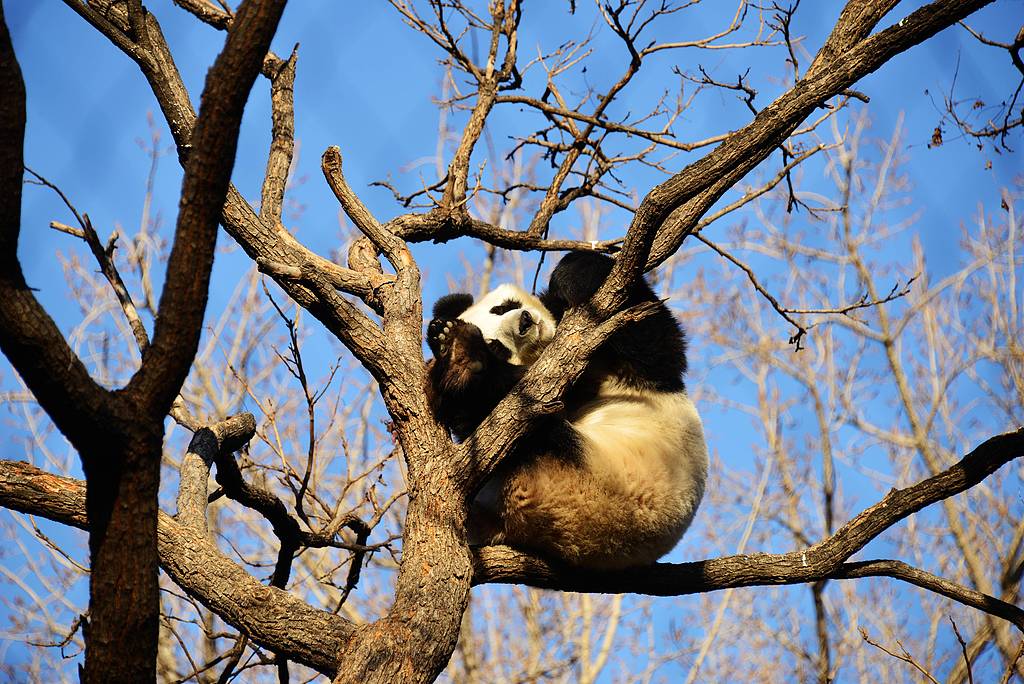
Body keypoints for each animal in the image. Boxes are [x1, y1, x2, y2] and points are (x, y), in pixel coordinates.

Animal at [421, 253, 704, 569]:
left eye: (502, 308)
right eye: (497, 346)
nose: (524, 322)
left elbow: (653, 332)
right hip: (588, 475)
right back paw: (463, 360)